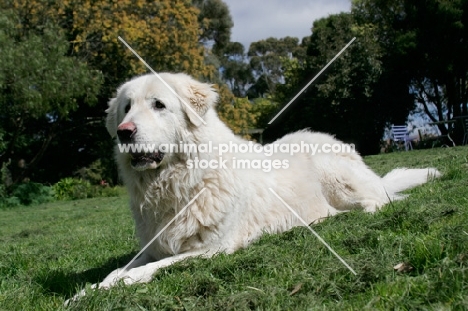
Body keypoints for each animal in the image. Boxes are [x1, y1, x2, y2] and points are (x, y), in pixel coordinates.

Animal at [68, 72, 438, 302]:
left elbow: (148, 270)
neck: (177, 183)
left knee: (378, 201)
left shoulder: (211, 249)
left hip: (333, 173)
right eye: (126, 108)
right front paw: (87, 292)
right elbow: (118, 270)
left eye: (159, 105)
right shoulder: (154, 245)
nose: (124, 132)